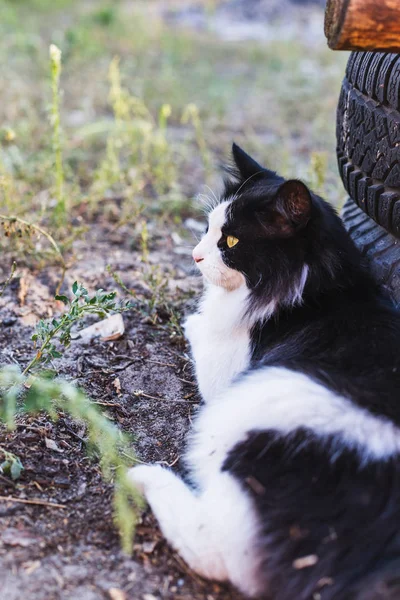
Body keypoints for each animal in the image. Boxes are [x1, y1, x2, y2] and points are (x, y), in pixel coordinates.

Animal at [130, 145, 400, 600]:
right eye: (207, 228)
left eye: (231, 242)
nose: (195, 255)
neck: (321, 289)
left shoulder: (225, 372)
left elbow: (200, 327)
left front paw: (193, 319)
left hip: (258, 403)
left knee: (215, 552)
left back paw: (142, 475)